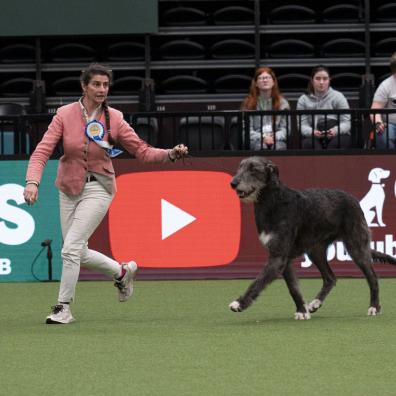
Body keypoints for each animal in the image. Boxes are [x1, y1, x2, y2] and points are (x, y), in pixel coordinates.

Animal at [229, 156, 396, 320]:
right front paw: (302, 310)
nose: (233, 183)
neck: (273, 201)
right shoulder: (283, 258)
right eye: (240, 167)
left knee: (373, 277)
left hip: (356, 246)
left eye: (253, 169)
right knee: (330, 278)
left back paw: (374, 307)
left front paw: (240, 303)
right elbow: (293, 287)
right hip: (315, 250)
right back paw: (315, 303)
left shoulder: (278, 256)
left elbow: (259, 281)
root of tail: (353, 199)